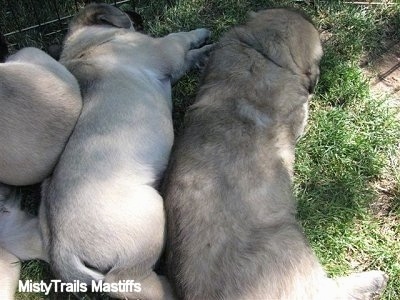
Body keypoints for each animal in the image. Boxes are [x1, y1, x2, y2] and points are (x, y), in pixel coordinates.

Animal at [39, 2, 211, 300]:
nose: (137, 15)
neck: (87, 45)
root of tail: (61, 246)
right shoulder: (165, 49)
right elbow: (182, 38)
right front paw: (205, 36)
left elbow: (189, 57)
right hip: (150, 214)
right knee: (123, 279)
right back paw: (167, 287)